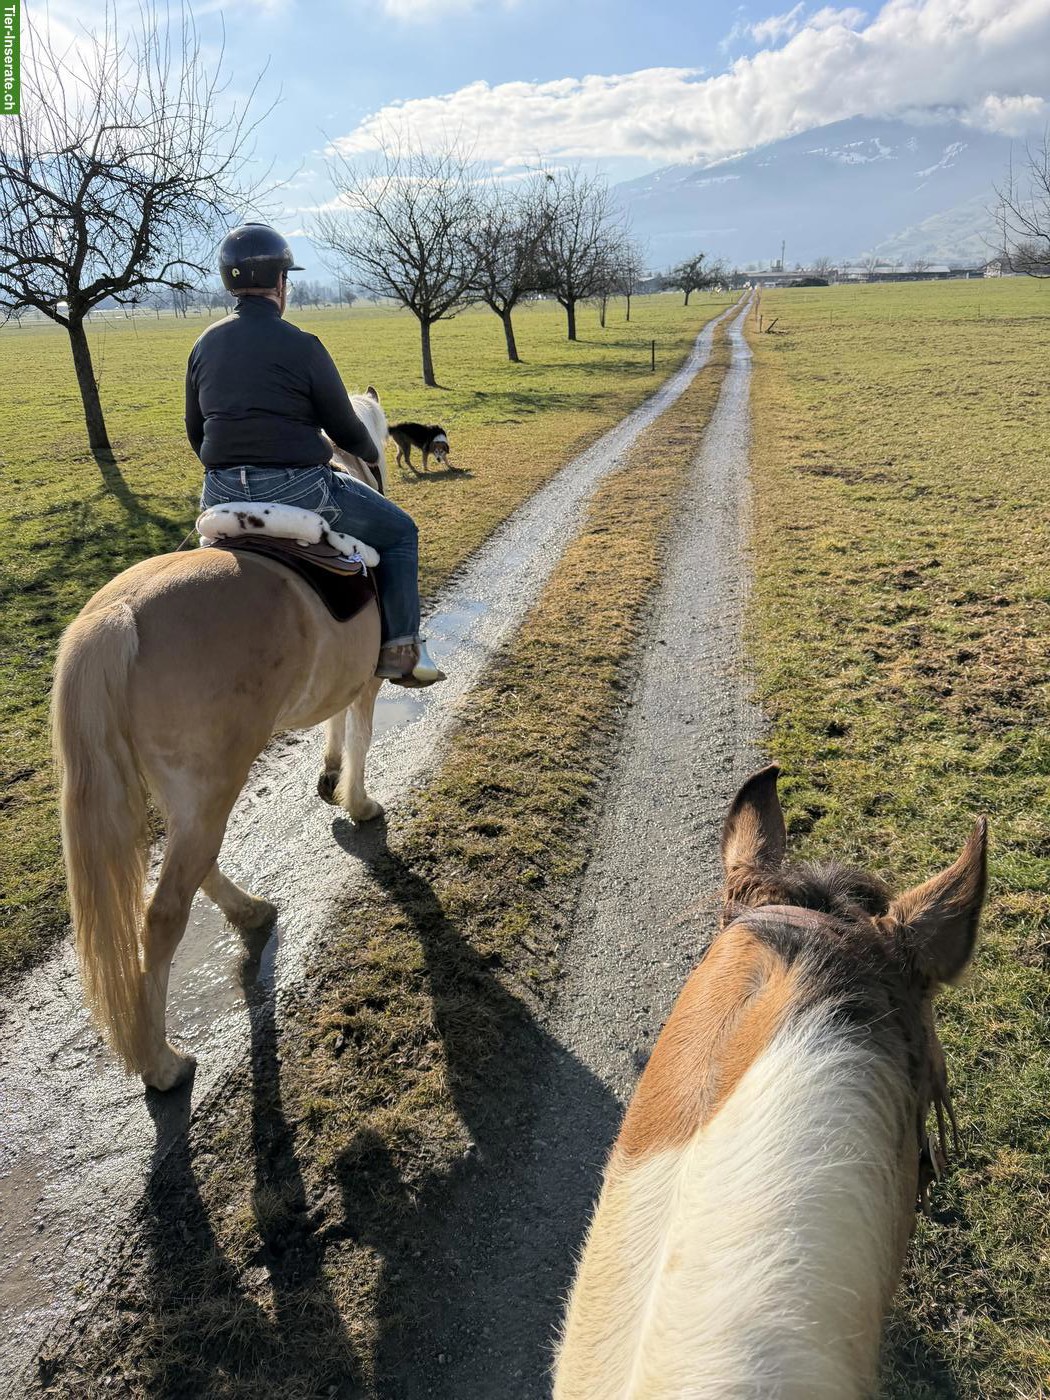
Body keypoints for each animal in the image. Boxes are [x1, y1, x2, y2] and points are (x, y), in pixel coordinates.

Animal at [52, 392, 390, 1092]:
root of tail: (118, 615)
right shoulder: (367, 678)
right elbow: (362, 736)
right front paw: (358, 802)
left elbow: (338, 727)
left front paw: (329, 775)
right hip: (210, 785)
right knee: (163, 913)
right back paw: (161, 1063)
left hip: (184, 791)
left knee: (194, 868)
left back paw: (251, 911)